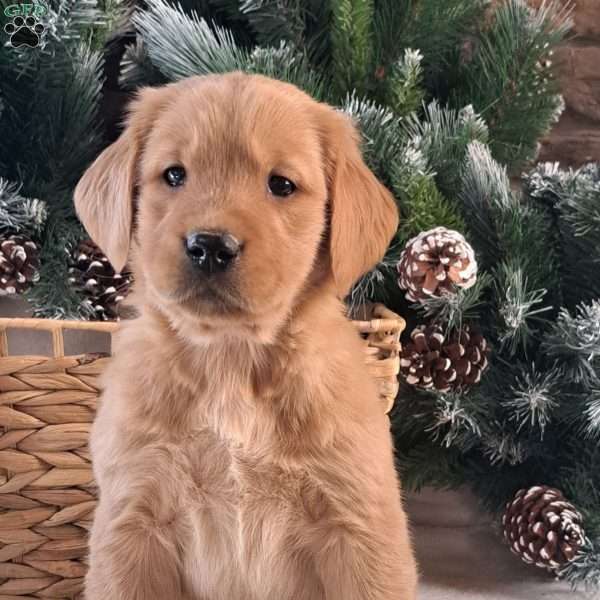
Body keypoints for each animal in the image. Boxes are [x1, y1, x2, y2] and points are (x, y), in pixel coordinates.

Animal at [74, 72, 418, 596]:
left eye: (281, 184)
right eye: (174, 175)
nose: (211, 246)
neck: (230, 360)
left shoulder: (358, 529)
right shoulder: (132, 520)